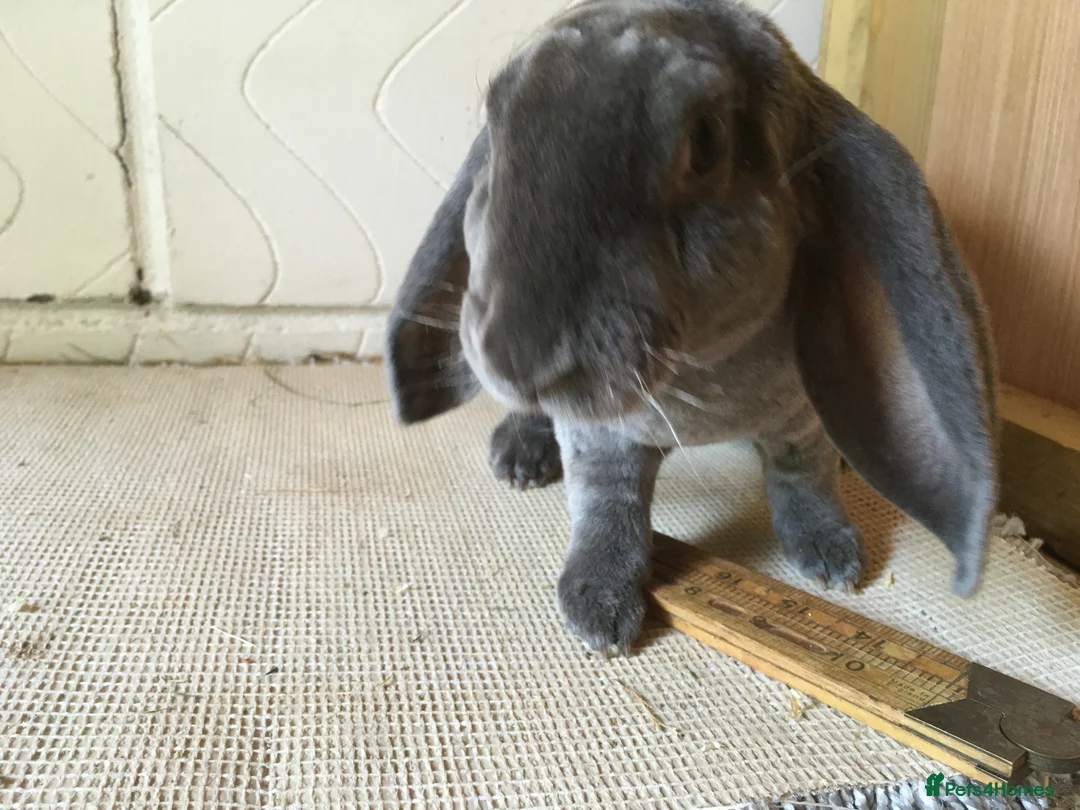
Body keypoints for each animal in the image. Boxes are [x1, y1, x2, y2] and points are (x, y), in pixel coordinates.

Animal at [384, 0, 998, 655]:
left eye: (705, 142)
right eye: (497, 129)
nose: (514, 359)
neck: (703, 376)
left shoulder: (801, 423)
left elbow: (802, 478)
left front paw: (831, 554)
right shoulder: (600, 437)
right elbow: (608, 504)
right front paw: (597, 606)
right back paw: (521, 454)